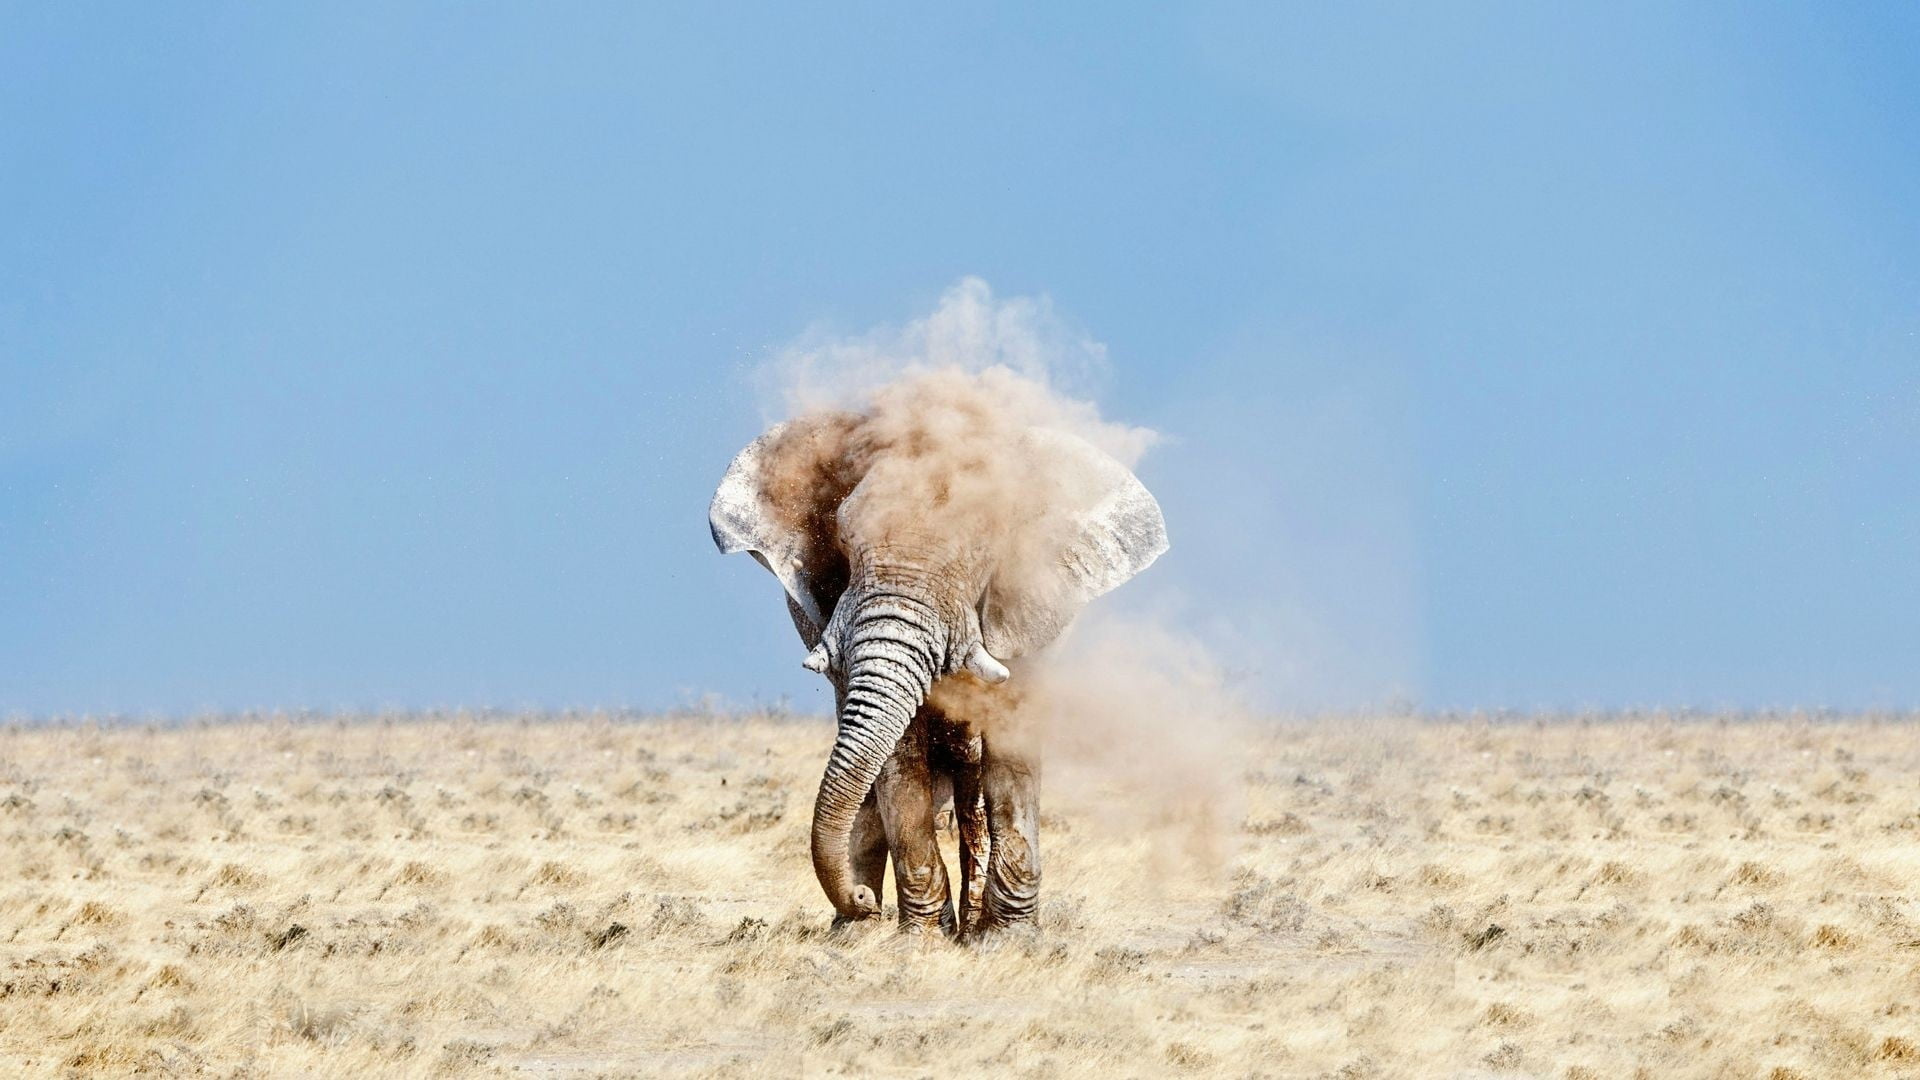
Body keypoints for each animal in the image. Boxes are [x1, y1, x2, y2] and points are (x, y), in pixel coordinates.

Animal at [708, 380, 1166, 936]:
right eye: (843, 539)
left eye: (982, 554)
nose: (858, 897)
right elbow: (897, 754)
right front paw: (921, 940)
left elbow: (1011, 744)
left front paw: (1006, 940)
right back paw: (856, 932)